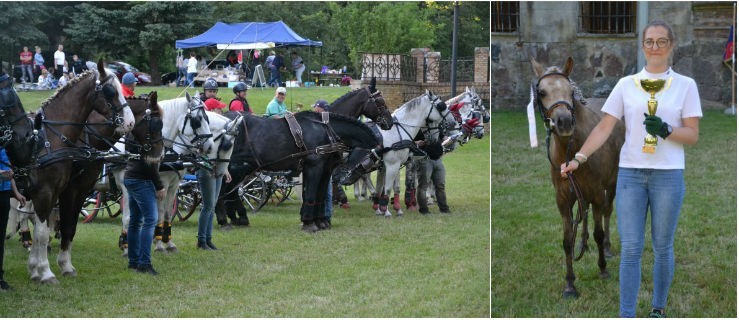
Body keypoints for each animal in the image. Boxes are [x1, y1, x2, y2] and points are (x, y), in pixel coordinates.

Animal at [225, 111, 378, 231]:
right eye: (367, 160)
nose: (342, 179)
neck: (326, 131)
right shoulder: (314, 166)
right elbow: (310, 195)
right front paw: (309, 223)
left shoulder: (325, 169)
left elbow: (319, 196)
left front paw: (320, 221)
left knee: (230, 192)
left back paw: (237, 219)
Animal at [532, 57, 624, 298]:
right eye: (542, 92)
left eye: (570, 91)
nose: (564, 121)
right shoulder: (563, 199)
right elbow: (567, 241)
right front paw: (570, 284)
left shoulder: (598, 192)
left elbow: (599, 231)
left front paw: (602, 269)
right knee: (586, 213)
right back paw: (584, 243)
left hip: (612, 184)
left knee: (607, 213)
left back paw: (607, 248)